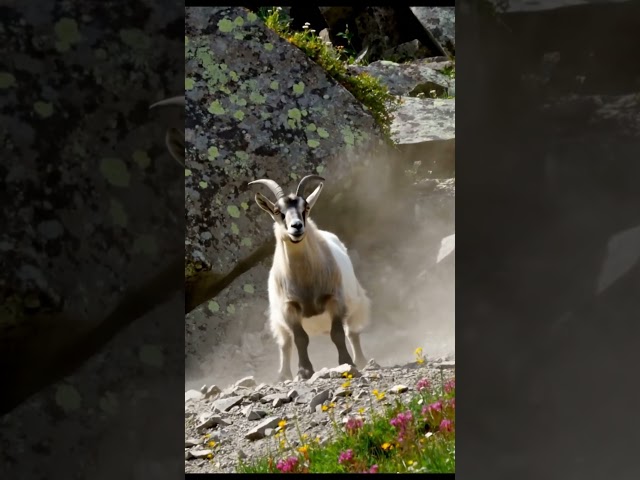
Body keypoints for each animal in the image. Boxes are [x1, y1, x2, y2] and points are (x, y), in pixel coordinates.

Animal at [249, 174, 370, 380]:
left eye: (305, 207)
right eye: (277, 211)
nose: (296, 227)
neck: (306, 281)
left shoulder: (334, 299)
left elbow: (337, 334)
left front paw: (347, 362)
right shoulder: (289, 307)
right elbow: (300, 339)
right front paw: (304, 371)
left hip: (354, 302)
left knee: (352, 332)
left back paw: (361, 361)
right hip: (278, 319)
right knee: (285, 344)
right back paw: (283, 375)